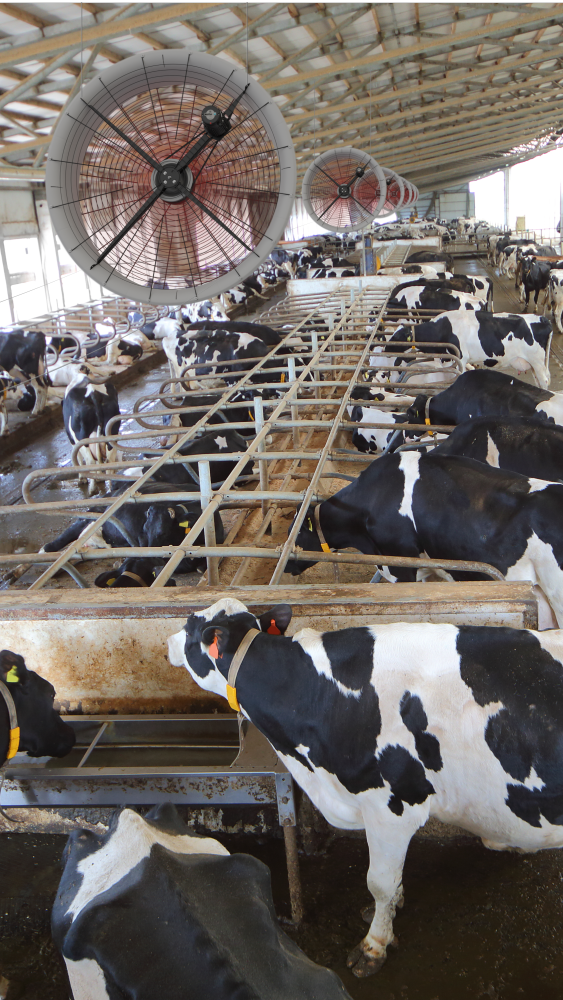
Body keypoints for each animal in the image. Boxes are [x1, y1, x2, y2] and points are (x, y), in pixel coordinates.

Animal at [167, 596, 563, 972]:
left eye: (189, 627)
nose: (167, 642)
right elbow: (392, 879)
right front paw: (387, 912)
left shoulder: (392, 806)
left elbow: (379, 882)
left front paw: (374, 946)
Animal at [382, 314, 552, 388]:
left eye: (396, 336)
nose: (384, 349)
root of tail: (543, 319)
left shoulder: (460, 358)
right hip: (534, 364)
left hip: (537, 362)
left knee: (544, 381)